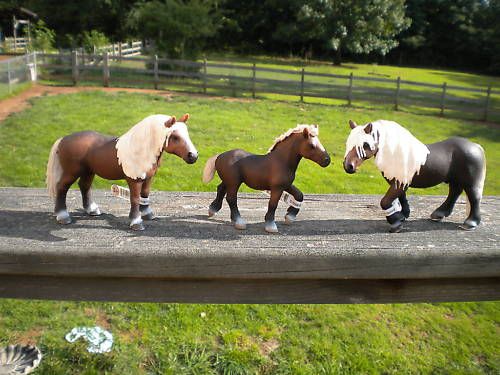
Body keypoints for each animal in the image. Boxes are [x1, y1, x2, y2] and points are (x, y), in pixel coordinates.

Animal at [45, 113, 197, 231]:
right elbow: (135, 198)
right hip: (72, 172)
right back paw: (63, 216)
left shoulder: (148, 178)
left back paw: (92, 210)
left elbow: (145, 194)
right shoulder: (134, 180)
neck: (141, 150)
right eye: (175, 137)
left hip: (88, 171)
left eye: (187, 134)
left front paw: (147, 214)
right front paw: (136, 222)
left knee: (84, 186)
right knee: (62, 187)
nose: (193, 156)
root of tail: (63, 139)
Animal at [201, 125, 330, 234]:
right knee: (231, 199)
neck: (281, 161)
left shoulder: (287, 185)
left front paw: (289, 216)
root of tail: (219, 156)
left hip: (228, 181)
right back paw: (239, 221)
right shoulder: (277, 188)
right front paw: (270, 225)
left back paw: (213, 210)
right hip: (234, 183)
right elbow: (273, 204)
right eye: (312, 145)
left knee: (220, 189)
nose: (327, 160)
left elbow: (299, 195)